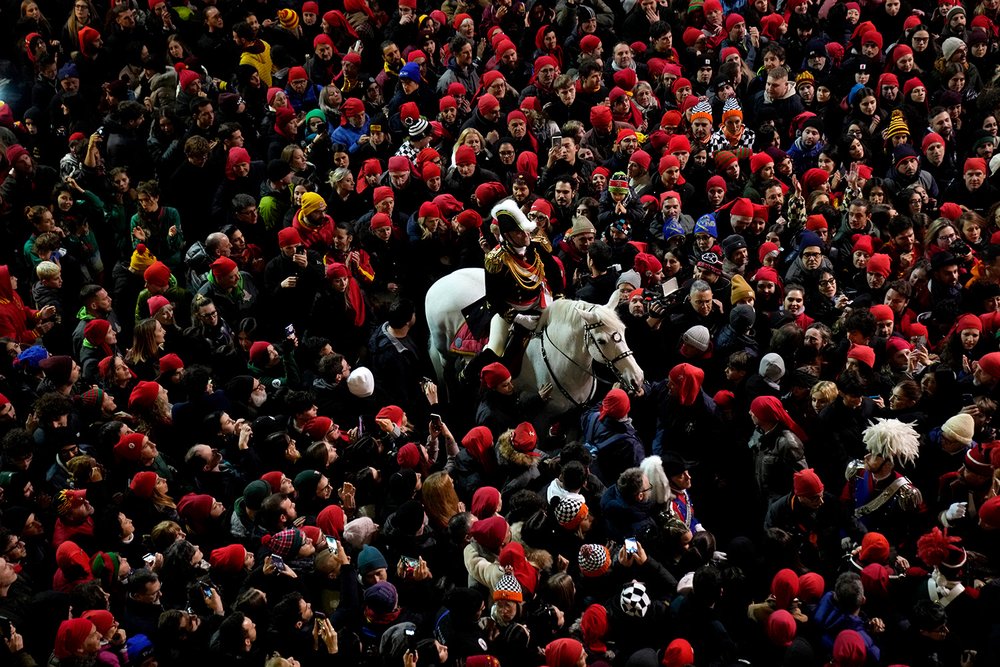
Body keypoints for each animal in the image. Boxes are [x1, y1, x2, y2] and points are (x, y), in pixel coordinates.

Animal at [420, 266, 640, 412]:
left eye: (624, 331)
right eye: (602, 340)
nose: (637, 378)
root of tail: (439, 282)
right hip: (444, 350)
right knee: (449, 371)